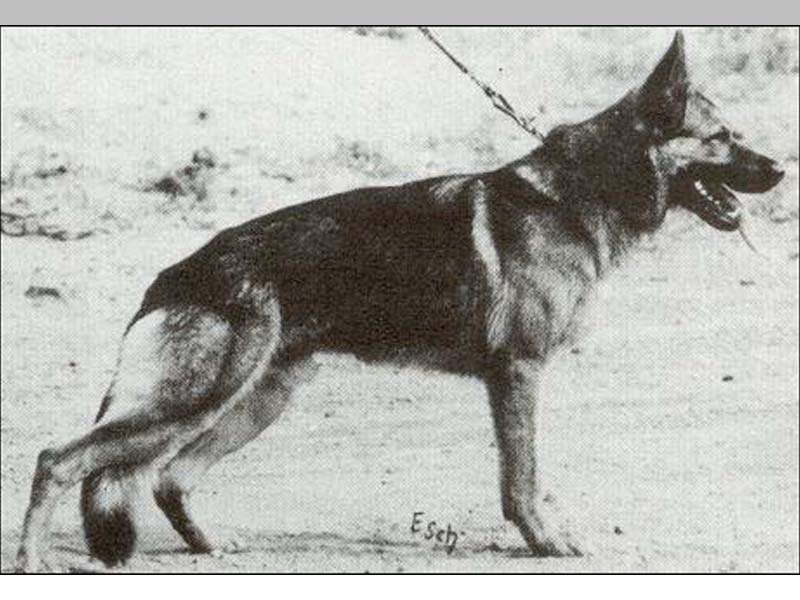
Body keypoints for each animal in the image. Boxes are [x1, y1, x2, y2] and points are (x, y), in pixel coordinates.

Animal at [15, 31, 785, 571]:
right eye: (723, 139)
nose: (780, 168)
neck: (585, 190)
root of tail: (175, 273)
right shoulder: (519, 373)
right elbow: (523, 479)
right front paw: (545, 541)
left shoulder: (513, 377)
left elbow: (521, 476)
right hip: (198, 398)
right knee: (60, 458)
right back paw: (29, 561)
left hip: (259, 399)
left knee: (170, 477)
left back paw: (207, 546)